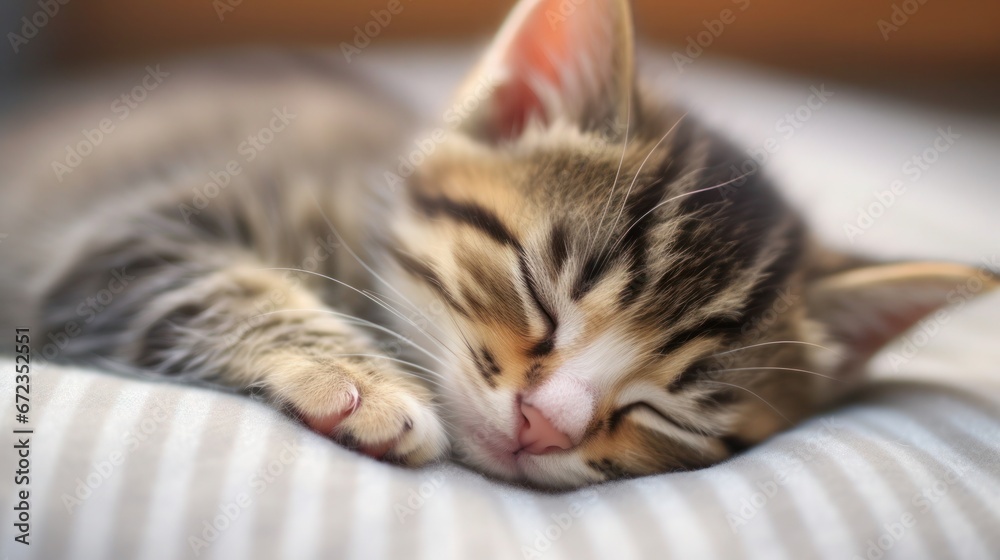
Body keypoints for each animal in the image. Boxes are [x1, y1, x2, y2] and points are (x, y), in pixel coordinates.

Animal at [0, 0, 996, 488]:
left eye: (671, 409)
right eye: (539, 289)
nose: (543, 424)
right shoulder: (104, 236)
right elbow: (202, 281)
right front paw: (358, 384)